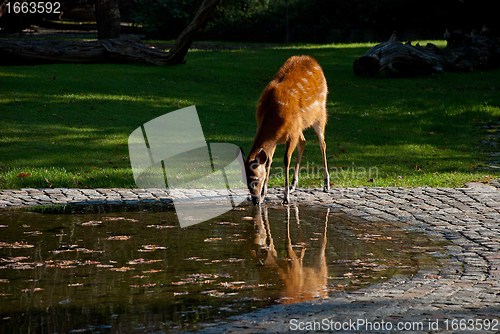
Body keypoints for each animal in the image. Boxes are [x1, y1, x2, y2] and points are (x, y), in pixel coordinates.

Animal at [245, 55, 330, 204]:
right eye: (246, 181)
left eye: (255, 180)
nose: (255, 200)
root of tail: (313, 61)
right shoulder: (276, 139)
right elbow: (269, 162)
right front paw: (264, 195)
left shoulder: (292, 134)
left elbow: (286, 160)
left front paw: (285, 198)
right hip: (300, 125)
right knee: (303, 141)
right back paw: (293, 185)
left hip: (320, 113)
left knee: (322, 143)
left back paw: (326, 184)